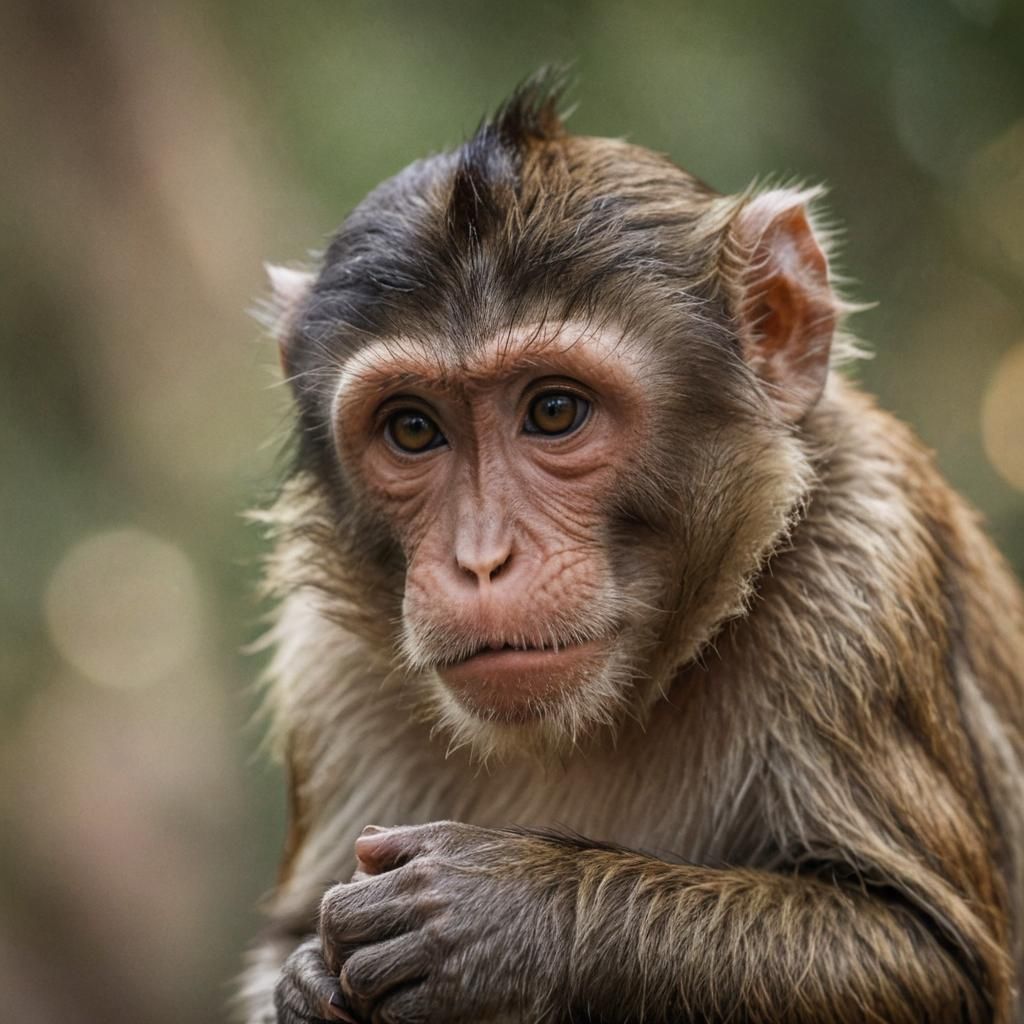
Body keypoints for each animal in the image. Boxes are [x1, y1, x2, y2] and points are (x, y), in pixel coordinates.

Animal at [238, 73, 1024, 1024]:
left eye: (554, 411)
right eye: (413, 429)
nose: (480, 560)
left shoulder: (864, 564)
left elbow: (927, 954)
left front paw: (502, 913)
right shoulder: (326, 669)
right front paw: (308, 985)